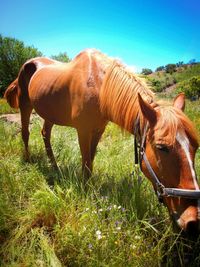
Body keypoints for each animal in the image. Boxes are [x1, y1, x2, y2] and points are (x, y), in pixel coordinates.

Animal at [4, 49, 200, 236]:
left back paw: (55, 167)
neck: (99, 85)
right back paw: (29, 160)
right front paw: (86, 192)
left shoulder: (98, 131)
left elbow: (90, 160)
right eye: (161, 147)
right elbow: (86, 164)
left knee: (45, 134)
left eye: (195, 147)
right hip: (25, 106)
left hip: (49, 113)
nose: (193, 221)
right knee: (26, 133)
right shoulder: (83, 130)